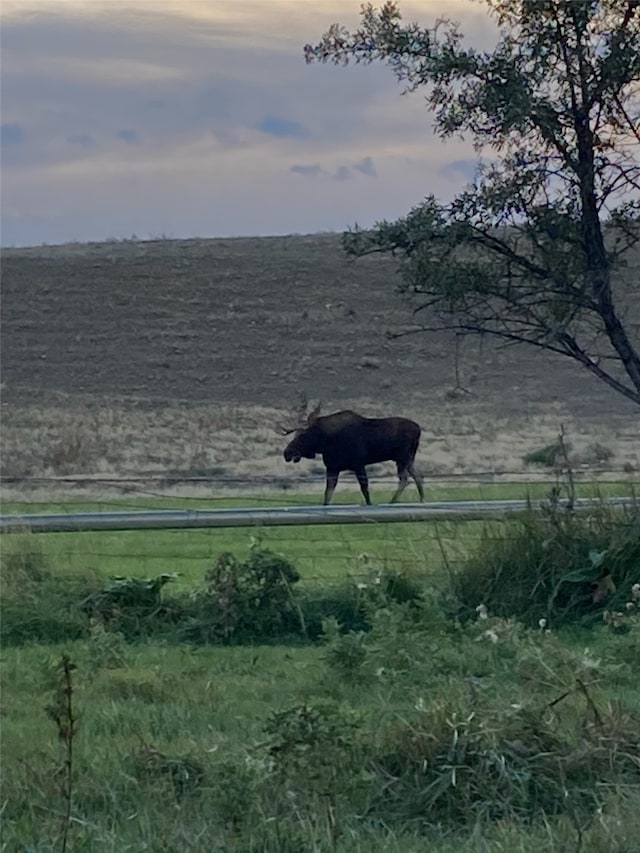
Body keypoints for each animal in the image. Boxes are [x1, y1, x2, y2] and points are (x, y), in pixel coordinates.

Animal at [280, 400, 424, 506]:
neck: (326, 442)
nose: (287, 453)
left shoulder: (358, 464)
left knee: (404, 479)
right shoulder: (332, 467)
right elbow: (328, 493)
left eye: (303, 435)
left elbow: (365, 489)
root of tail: (419, 429)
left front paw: (370, 505)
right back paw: (422, 500)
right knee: (418, 478)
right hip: (409, 459)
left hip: (402, 458)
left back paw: (392, 502)